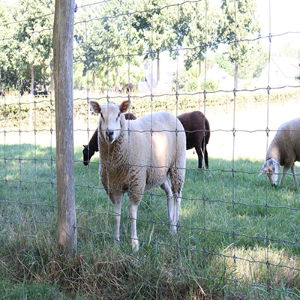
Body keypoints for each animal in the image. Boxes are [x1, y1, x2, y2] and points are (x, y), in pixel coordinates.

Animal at [90, 99, 186, 250]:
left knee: (178, 196)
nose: (109, 133)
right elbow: (116, 215)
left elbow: (132, 215)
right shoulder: (114, 187)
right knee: (169, 193)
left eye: (119, 114)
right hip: (160, 173)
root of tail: (170, 114)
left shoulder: (136, 183)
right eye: (101, 115)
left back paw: (174, 228)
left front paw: (134, 243)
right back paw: (170, 220)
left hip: (178, 165)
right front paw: (116, 240)